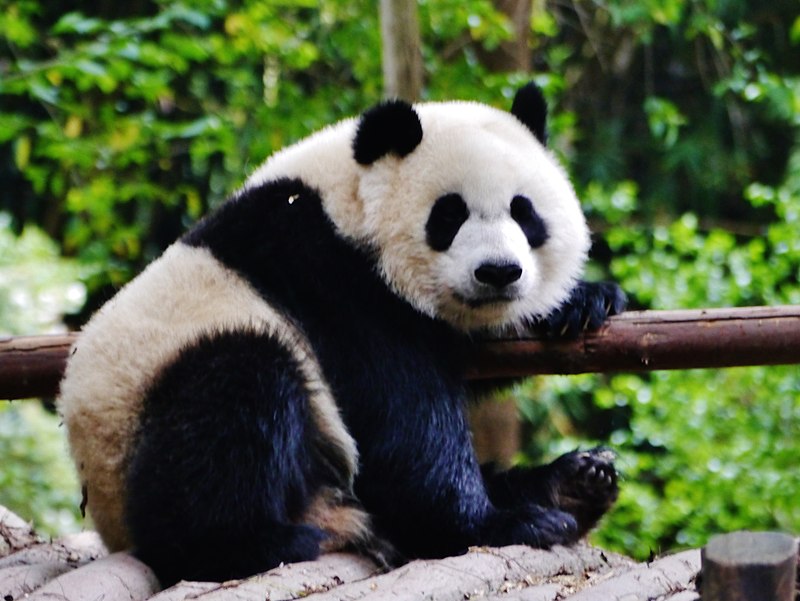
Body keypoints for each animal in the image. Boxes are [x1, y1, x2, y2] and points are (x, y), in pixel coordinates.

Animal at [59, 82, 628, 584]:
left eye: (523, 212)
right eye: (449, 215)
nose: (499, 272)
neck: (344, 202)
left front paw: (582, 303)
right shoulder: (331, 278)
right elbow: (404, 420)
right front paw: (500, 524)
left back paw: (575, 483)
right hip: (151, 403)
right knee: (234, 396)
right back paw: (259, 541)